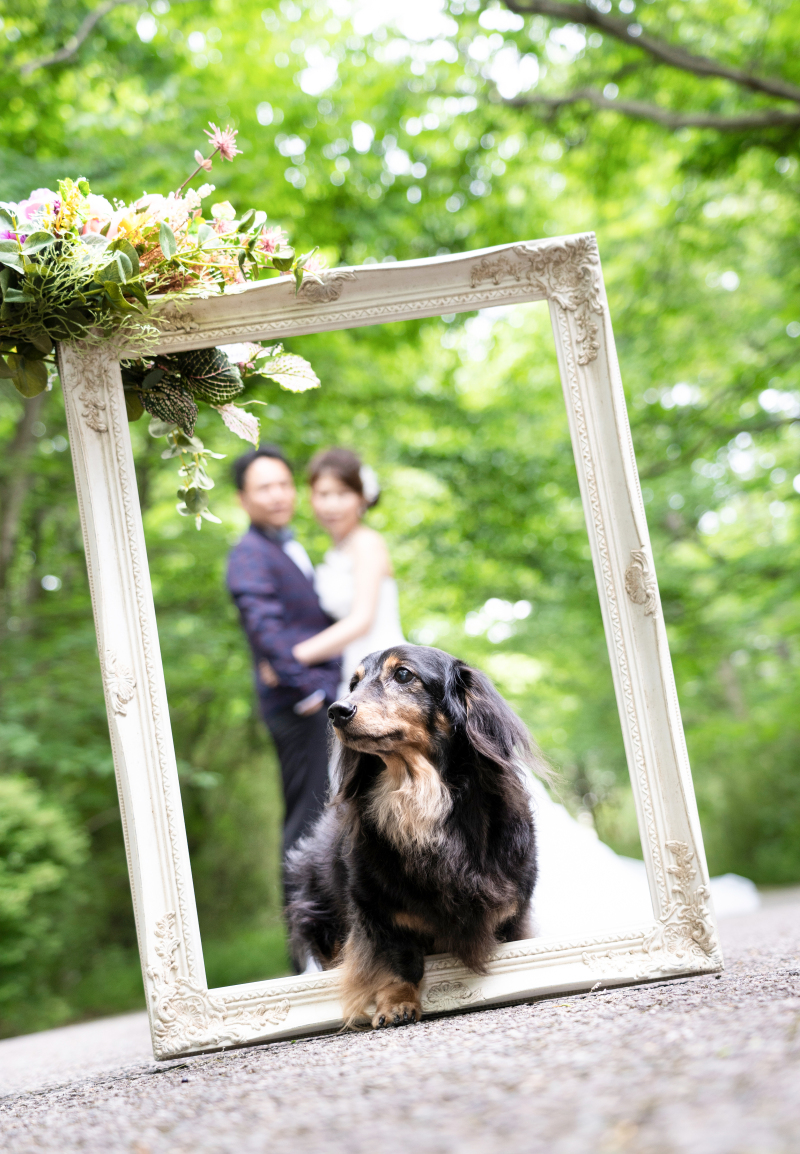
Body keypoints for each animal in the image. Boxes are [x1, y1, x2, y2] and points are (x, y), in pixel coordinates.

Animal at [283, 646, 540, 1033]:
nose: (337, 711)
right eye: (354, 683)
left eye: (404, 675)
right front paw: (398, 1003)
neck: (418, 796)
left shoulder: (514, 912)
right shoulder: (377, 912)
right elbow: (398, 959)